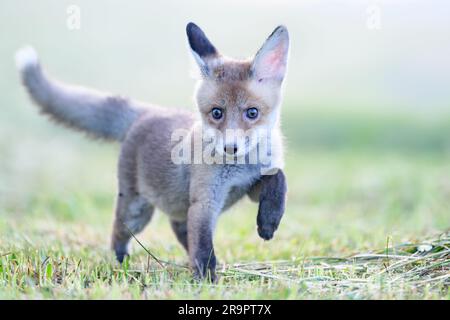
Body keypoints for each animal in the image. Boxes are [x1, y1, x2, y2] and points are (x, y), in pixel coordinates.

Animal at [15, 22, 288, 280]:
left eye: (252, 112)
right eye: (216, 113)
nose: (230, 148)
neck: (243, 166)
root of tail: (146, 111)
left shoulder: (248, 186)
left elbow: (278, 178)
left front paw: (268, 222)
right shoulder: (205, 201)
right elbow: (202, 246)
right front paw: (207, 281)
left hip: (174, 206)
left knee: (178, 227)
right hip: (136, 212)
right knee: (119, 233)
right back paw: (122, 265)